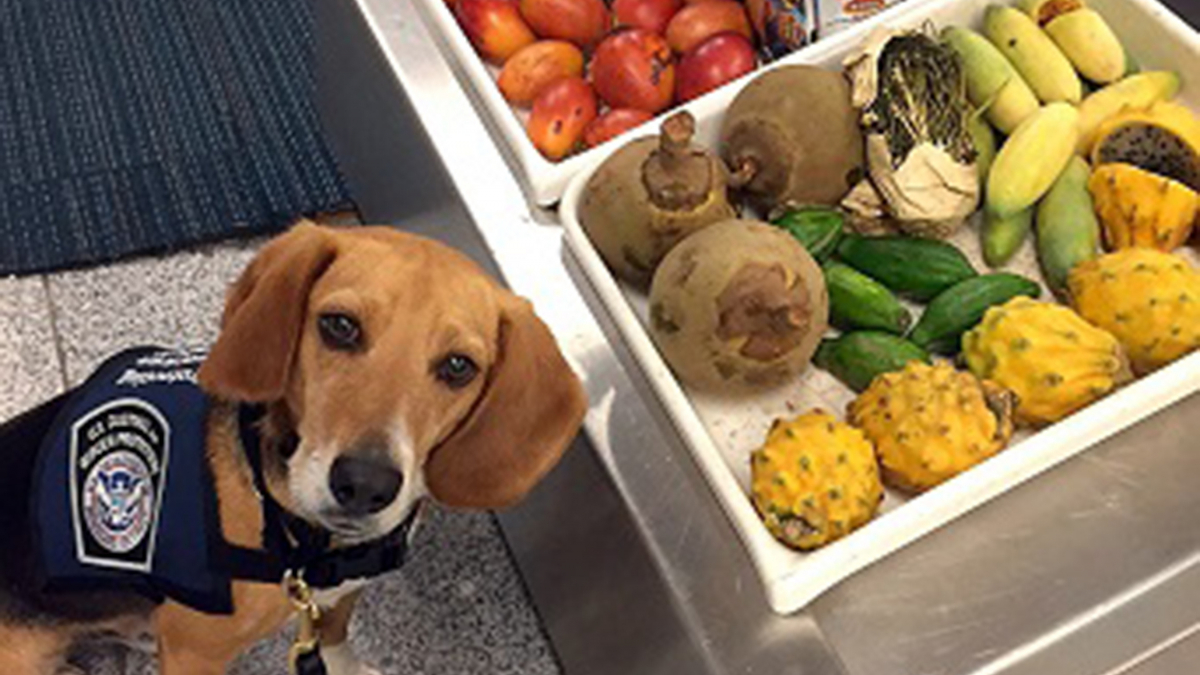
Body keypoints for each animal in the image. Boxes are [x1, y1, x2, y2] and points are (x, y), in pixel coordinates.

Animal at [0, 222, 585, 672]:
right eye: (340, 326)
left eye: (459, 366)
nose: (364, 485)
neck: (301, 537)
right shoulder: (194, 652)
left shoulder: (342, 592)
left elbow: (334, 638)